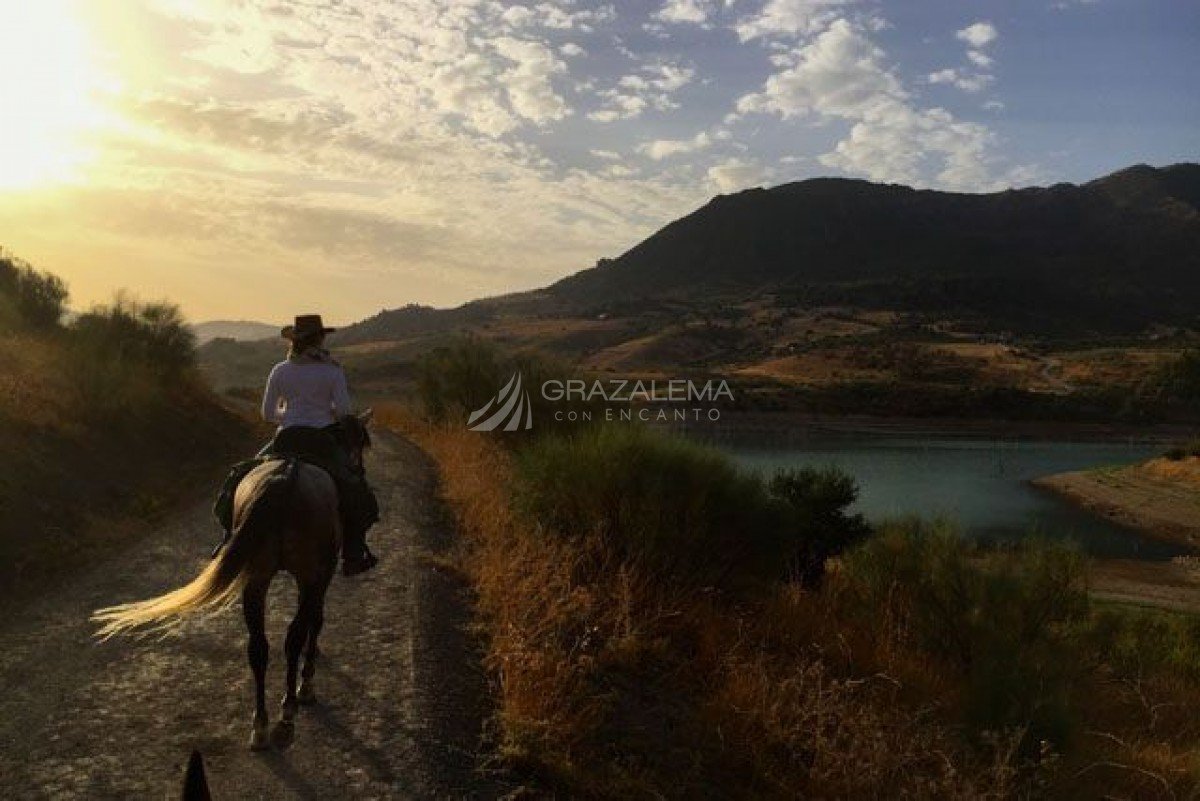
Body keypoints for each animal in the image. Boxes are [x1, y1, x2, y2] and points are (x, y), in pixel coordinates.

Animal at [93, 412, 372, 753]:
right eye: (360, 443)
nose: (359, 469)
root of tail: (286, 476)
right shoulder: (322, 573)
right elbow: (315, 622)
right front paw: (307, 685)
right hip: (303, 574)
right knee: (292, 638)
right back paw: (286, 717)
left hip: (256, 578)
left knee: (258, 647)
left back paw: (260, 726)